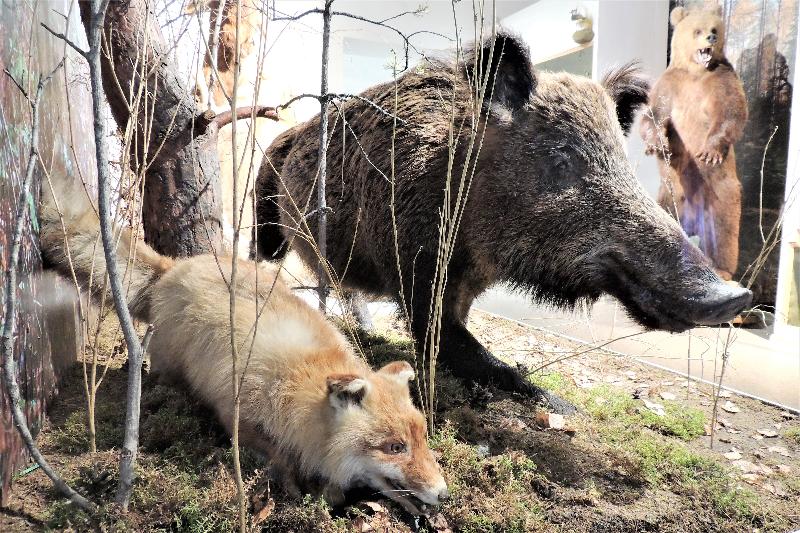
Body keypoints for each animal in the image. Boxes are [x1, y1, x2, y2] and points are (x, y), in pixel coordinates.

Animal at [640, 6, 748, 280]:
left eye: (715, 29)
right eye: (698, 30)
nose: (711, 38)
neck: (696, 73)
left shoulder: (722, 80)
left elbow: (732, 112)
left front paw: (710, 152)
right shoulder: (670, 85)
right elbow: (653, 115)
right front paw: (657, 144)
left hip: (720, 193)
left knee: (724, 227)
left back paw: (721, 269)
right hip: (669, 193)